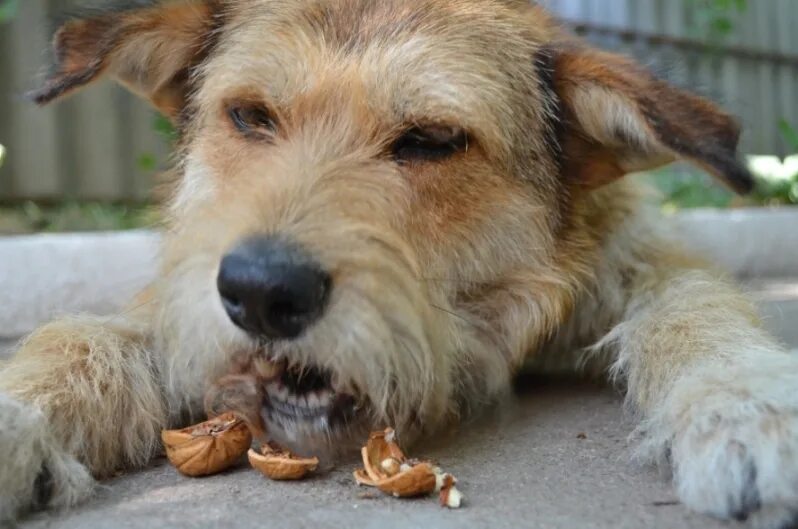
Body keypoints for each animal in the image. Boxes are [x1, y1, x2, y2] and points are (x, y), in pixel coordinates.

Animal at [1, 1, 798, 524]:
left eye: (433, 140)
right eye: (251, 117)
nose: (258, 293)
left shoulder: (641, 257)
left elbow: (695, 307)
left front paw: (747, 406)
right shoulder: (184, 303)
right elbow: (80, 338)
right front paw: (15, 414)